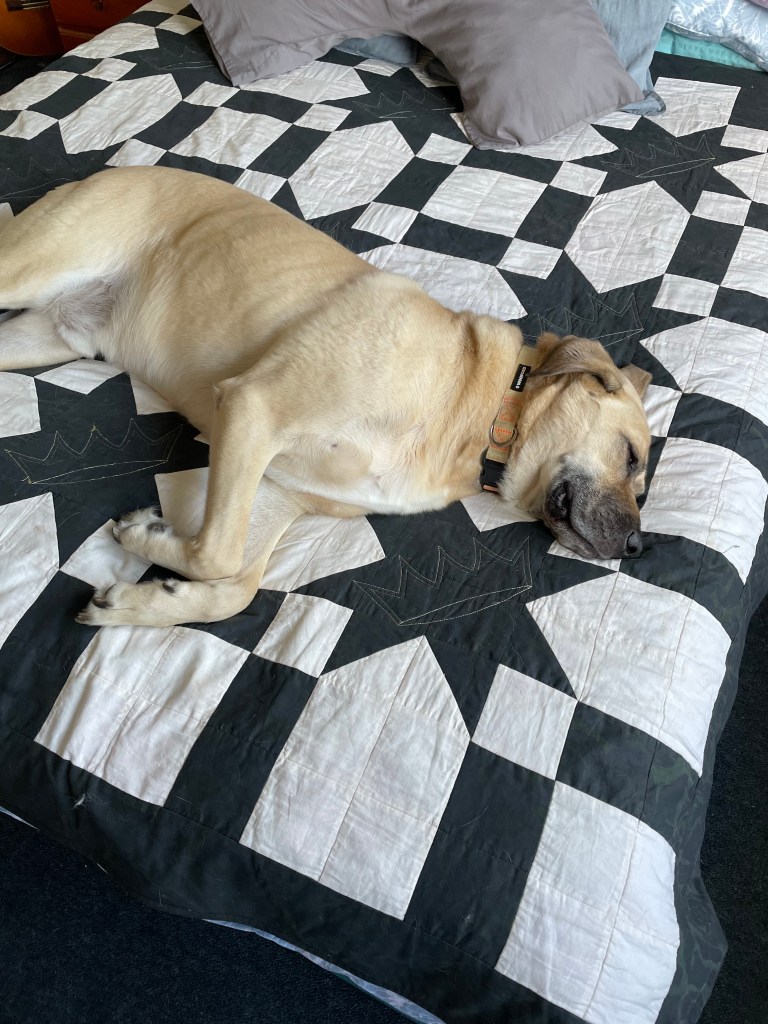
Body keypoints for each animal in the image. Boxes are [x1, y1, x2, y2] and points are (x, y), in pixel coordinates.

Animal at [0, 167, 651, 627]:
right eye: (631, 458)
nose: (637, 547)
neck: (483, 411)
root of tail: (110, 170)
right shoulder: (254, 409)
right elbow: (218, 556)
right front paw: (146, 544)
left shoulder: (276, 487)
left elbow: (233, 583)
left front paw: (144, 575)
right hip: (28, 268)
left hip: (40, 338)